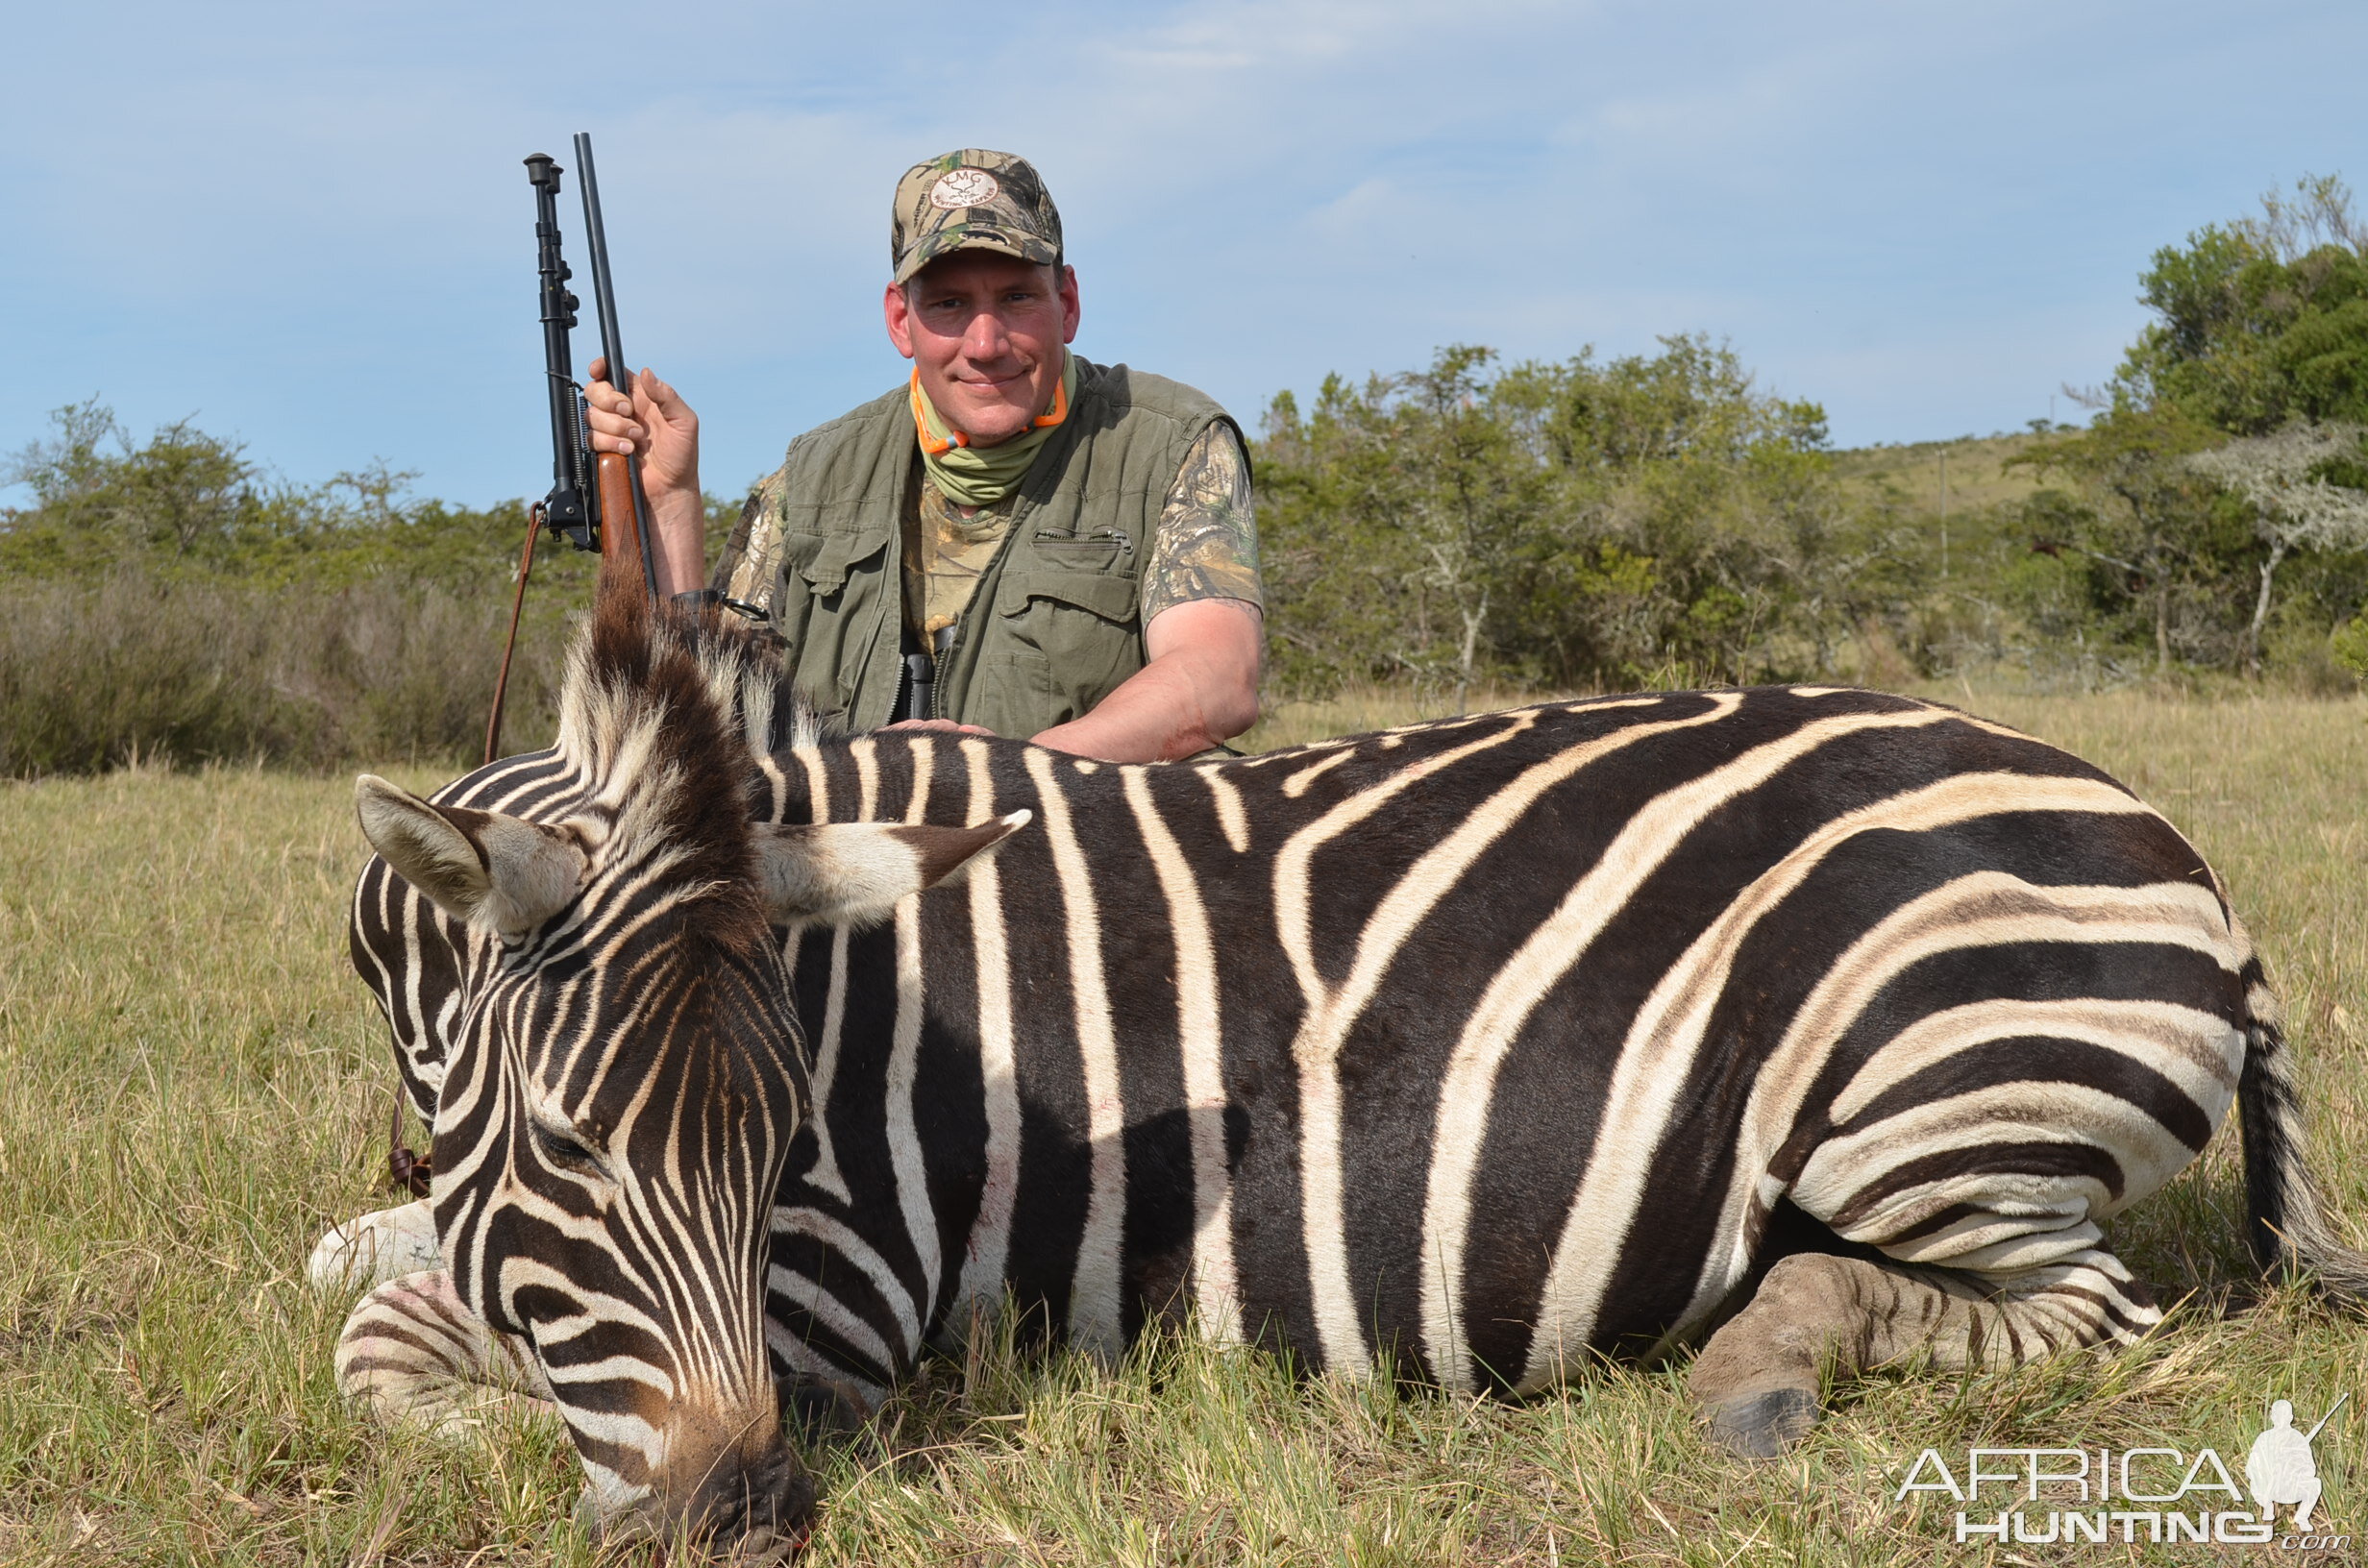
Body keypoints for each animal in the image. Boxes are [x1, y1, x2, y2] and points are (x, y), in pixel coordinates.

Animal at [314, 566, 2368, 1544]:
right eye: (568, 1150)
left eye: (781, 1149)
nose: (737, 1520)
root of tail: (2174, 848)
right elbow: (372, 1269)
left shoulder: (848, 1281)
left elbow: (391, 1345)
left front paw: (483, 1406)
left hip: (1925, 1091)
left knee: (2077, 1311)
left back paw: (1757, 1357)